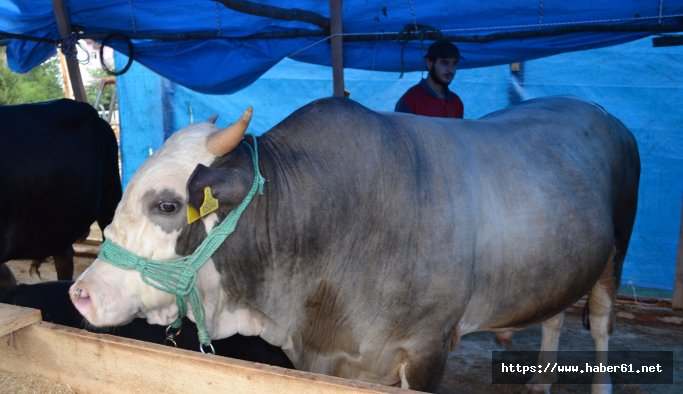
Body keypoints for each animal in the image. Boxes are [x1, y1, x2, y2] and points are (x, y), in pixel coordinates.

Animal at [67, 96, 640, 390]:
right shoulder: (322, 358)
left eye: (166, 205)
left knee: (599, 325)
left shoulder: (427, 350)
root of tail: (604, 114)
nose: (80, 293)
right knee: (554, 317)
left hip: (615, 255)